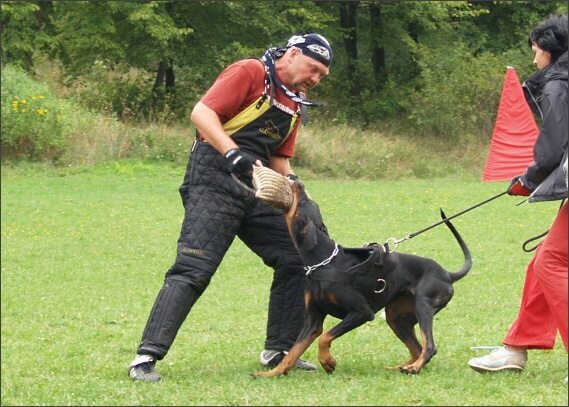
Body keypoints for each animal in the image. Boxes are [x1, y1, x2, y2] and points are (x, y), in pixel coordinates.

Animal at [252, 180, 470, 378]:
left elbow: (325, 337)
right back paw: (401, 367)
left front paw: (328, 362)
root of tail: (448, 274)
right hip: (396, 317)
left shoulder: (362, 312)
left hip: (423, 305)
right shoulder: (312, 320)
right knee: (417, 348)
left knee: (429, 347)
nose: (296, 179)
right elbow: (294, 351)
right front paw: (273, 373)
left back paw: (414, 368)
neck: (324, 262)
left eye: (305, 200)